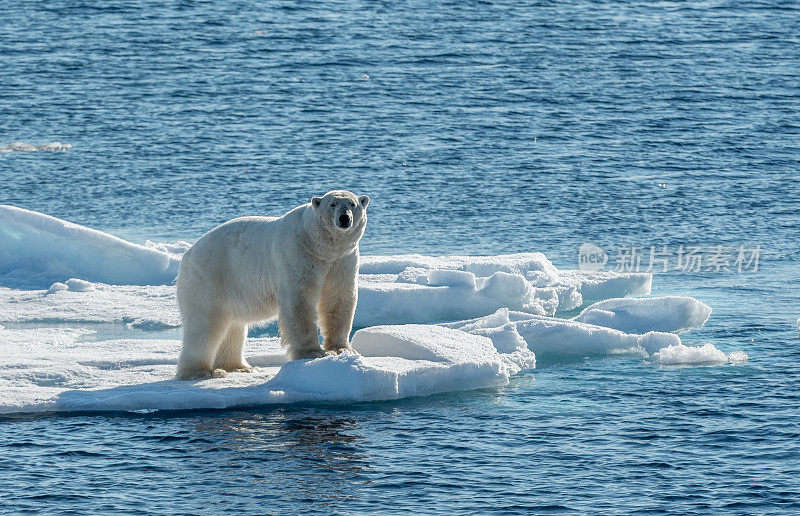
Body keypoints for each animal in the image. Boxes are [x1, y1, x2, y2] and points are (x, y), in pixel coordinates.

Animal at [175, 189, 368, 378]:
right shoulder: (298, 254)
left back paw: (240, 367)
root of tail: (187, 254)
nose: (344, 218)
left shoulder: (342, 260)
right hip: (209, 277)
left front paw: (343, 349)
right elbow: (300, 301)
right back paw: (201, 371)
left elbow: (338, 298)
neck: (320, 247)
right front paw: (314, 353)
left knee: (233, 326)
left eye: (352, 204)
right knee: (205, 324)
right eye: (333, 204)